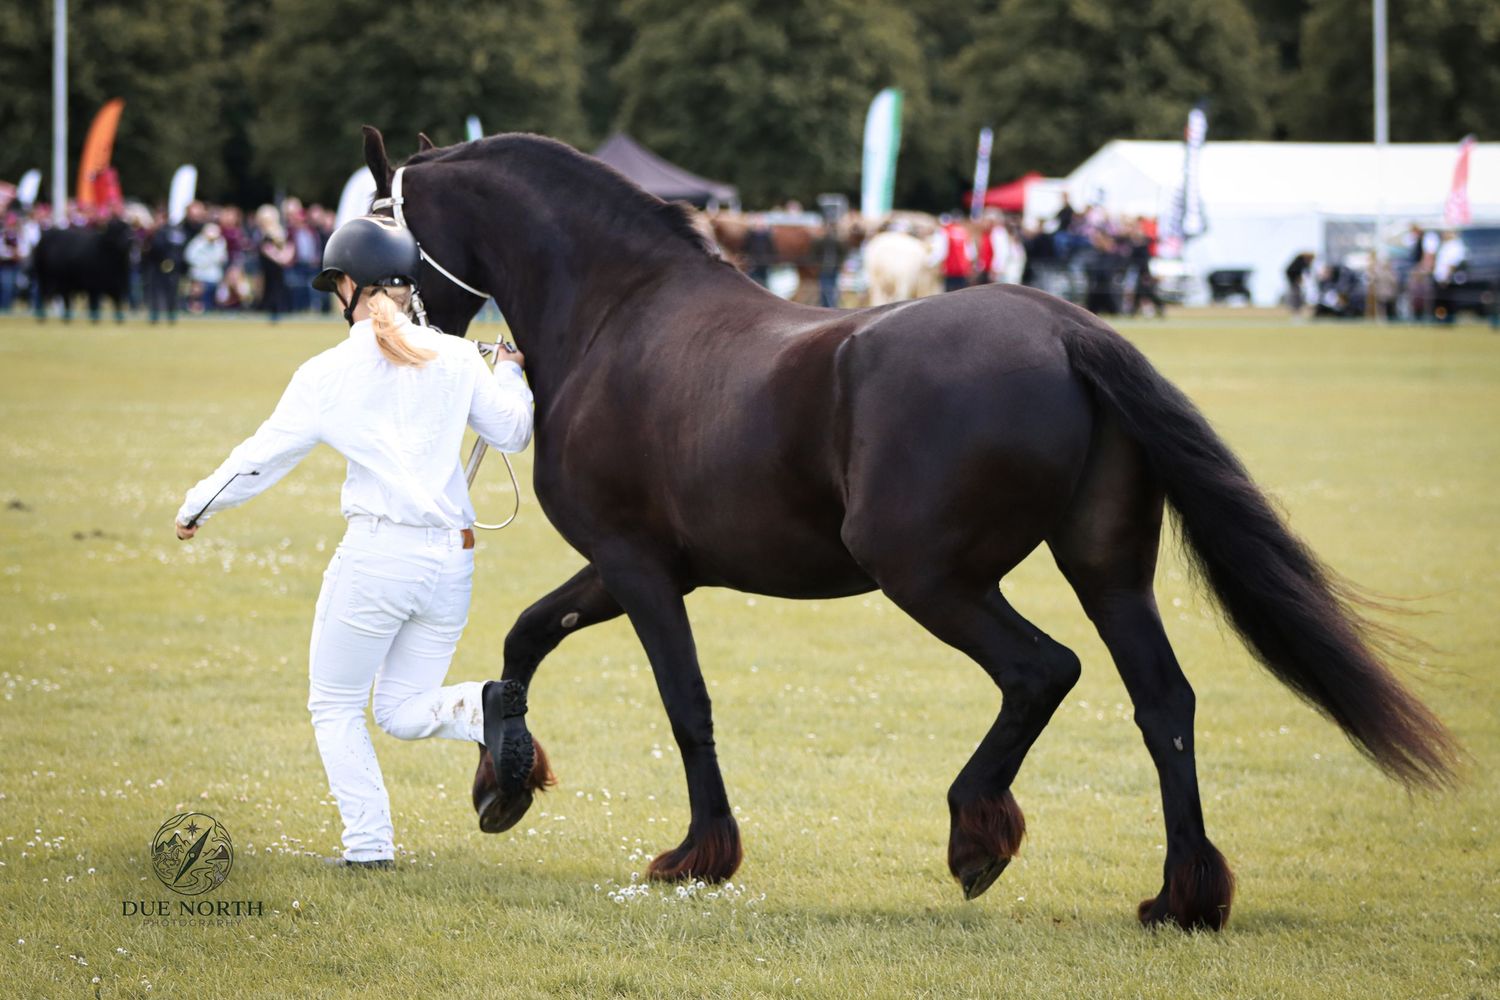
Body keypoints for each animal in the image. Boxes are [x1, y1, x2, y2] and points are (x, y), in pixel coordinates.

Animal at [363, 127, 1458, 930]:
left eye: (376, 226)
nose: (376, 317)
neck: (618, 314)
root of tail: (1068, 326)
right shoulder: (639, 564)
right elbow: (524, 637)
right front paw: (503, 778)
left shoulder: (637, 566)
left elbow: (684, 702)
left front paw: (698, 854)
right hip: (1108, 572)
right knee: (1165, 704)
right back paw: (1182, 895)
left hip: (928, 576)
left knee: (1043, 670)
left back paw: (978, 834)